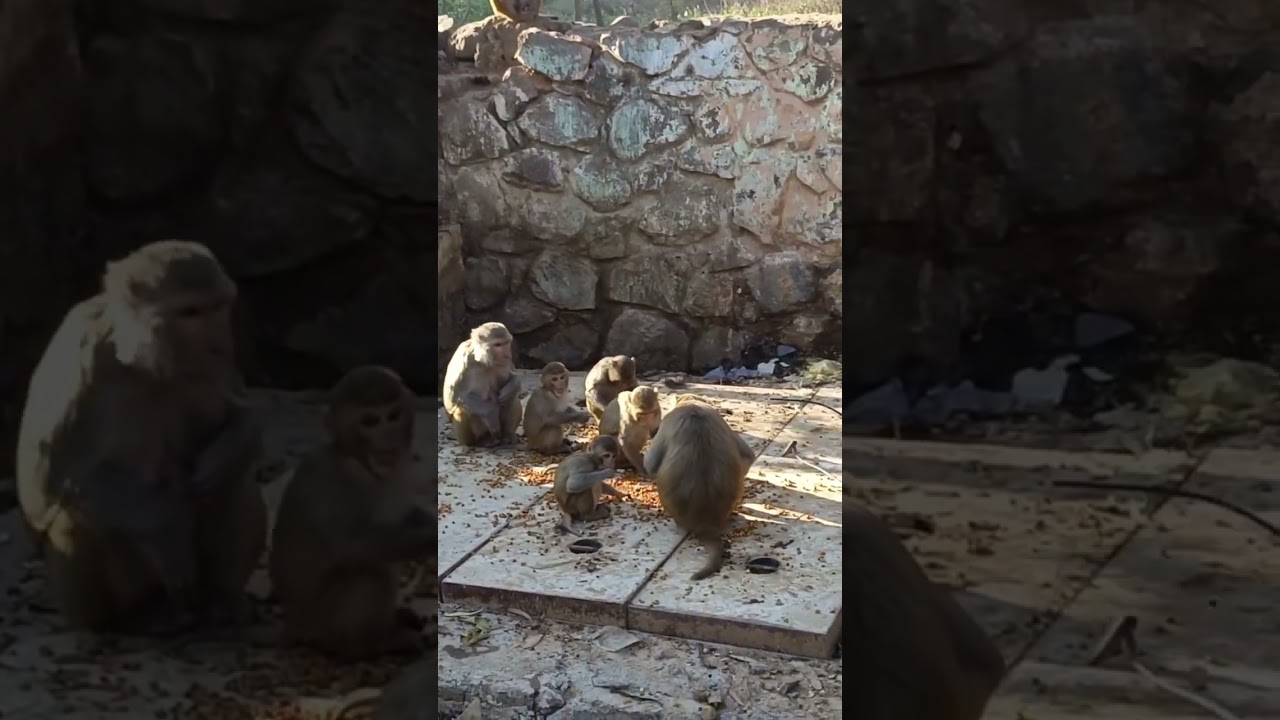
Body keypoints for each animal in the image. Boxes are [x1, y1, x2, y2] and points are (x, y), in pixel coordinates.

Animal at [14, 240, 267, 635]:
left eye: (218, 307)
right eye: (191, 312)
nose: (218, 344)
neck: (143, 364)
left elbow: (242, 417)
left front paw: (226, 453)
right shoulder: (82, 351)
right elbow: (46, 485)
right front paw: (167, 529)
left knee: (236, 482)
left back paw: (220, 605)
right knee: (75, 515)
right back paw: (129, 619)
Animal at [269, 366, 432, 662]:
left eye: (393, 415)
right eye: (370, 421)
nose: (388, 436)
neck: (358, 461)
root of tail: (292, 625)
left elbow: (403, 516)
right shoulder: (328, 479)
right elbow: (353, 545)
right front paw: (433, 539)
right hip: (320, 624)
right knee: (367, 574)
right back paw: (367, 645)